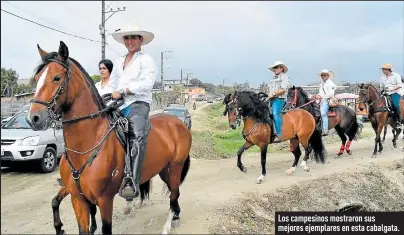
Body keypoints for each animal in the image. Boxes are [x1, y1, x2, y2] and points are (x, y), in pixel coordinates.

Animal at [25, 41, 193, 234]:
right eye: (37, 78)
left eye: (57, 78)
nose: (33, 118)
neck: (86, 146)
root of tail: (178, 123)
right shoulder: (78, 199)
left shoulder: (105, 200)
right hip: (164, 169)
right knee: (174, 193)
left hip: (175, 167)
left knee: (174, 193)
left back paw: (168, 224)